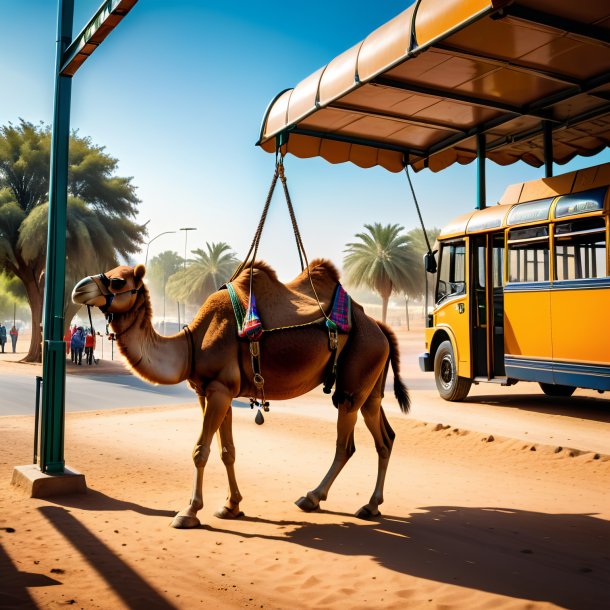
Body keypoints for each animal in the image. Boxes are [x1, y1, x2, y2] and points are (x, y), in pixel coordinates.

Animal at [73, 258, 410, 524]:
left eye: (118, 280)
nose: (78, 288)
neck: (190, 344)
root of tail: (380, 326)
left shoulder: (220, 390)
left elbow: (201, 450)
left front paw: (189, 512)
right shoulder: (210, 391)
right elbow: (227, 451)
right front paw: (231, 506)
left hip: (356, 376)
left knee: (346, 444)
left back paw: (312, 497)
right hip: (369, 384)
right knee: (385, 437)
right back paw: (370, 505)